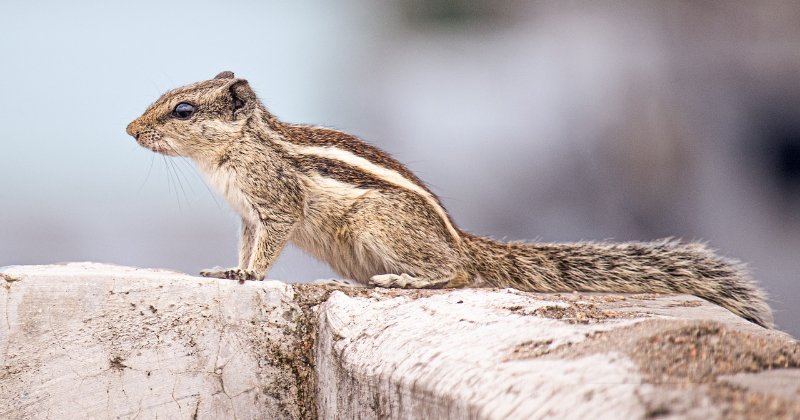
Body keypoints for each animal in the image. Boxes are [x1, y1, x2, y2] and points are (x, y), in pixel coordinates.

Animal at [125, 71, 776, 328]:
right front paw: (227, 270)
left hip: (379, 225)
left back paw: (404, 279)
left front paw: (250, 277)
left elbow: (267, 248)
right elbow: (242, 246)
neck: (232, 154)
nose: (130, 130)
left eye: (183, 110)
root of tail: (462, 237)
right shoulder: (245, 215)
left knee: (455, 272)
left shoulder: (275, 204)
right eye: (168, 98)